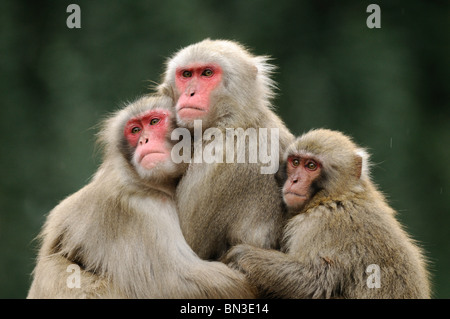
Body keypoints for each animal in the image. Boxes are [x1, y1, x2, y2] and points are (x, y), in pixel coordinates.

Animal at [28, 95, 255, 300]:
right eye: (135, 130)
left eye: (154, 121)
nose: (144, 140)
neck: (141, 181)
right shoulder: (138, 211)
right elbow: (178, 283)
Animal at [227, 129, 430, 298]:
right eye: (295, 162)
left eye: (311, 165)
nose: (294, 180)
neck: (336, 196)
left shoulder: (319, 223)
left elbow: (315, 280)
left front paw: (240, 255)